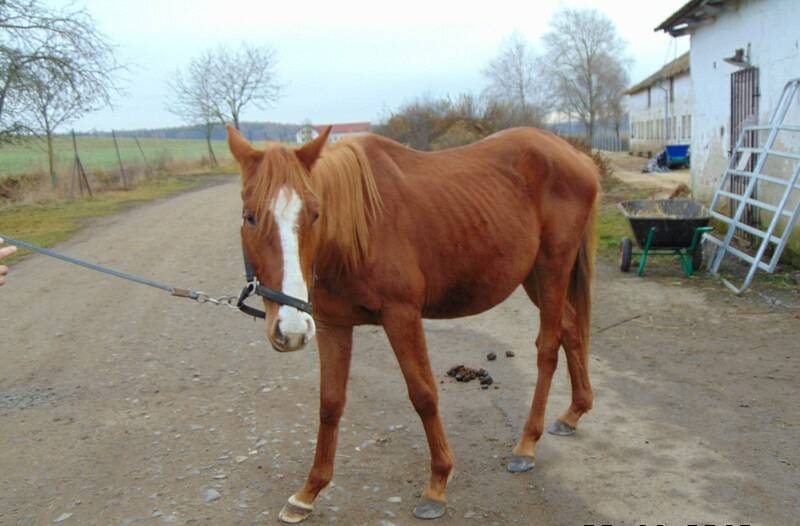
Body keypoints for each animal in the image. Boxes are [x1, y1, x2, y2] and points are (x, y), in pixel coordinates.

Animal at [228, 125, 596, 524]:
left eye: (314, 214)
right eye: (250, 216)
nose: (291, 329)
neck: (358, 229)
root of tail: (578, 157)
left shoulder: (401, 316)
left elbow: (423, 394)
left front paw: (437, 483)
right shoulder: (332, 325)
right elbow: (330, 403)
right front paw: (309, 491)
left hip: (553, 266)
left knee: (548, 348)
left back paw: (527, 444)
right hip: (533, 276)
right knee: (571, 328)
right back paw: (574, 412)